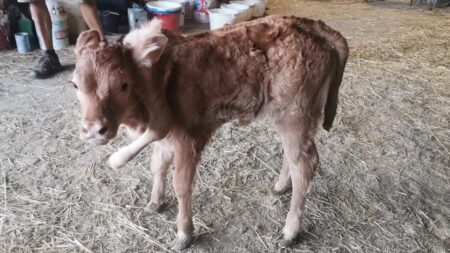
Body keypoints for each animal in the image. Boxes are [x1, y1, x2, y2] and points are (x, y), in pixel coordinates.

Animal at [72, 14, 350, 250]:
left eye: (123, 84)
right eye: (75, 84)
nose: (94, 130)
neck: (157, 75)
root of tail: (312, 26)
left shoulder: (187, 138)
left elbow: (181, 184)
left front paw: (184, 234)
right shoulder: (167, 138)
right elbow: (157, 166)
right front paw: (155, 202)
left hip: (295, 116)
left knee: (304, 164)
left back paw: (290, 232)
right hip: (288, 119)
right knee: (292, 157)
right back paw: (280, 187)